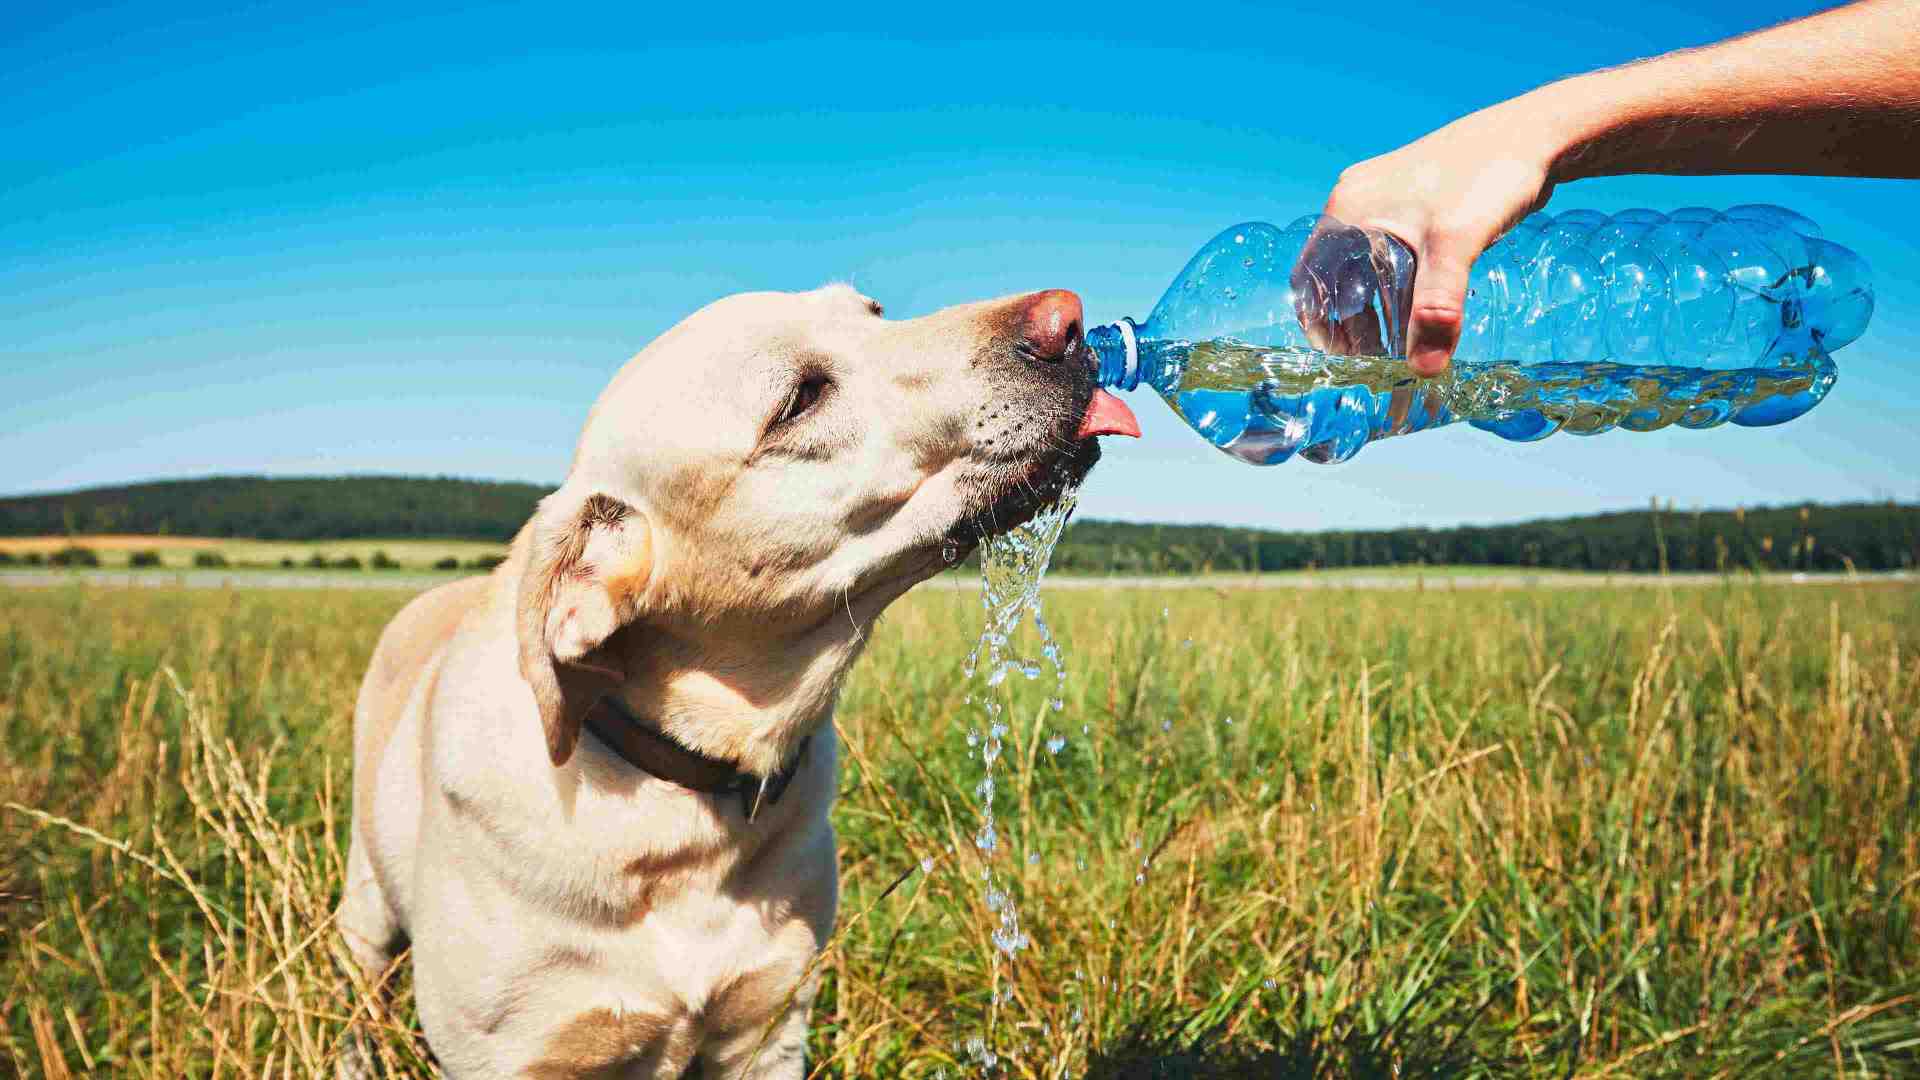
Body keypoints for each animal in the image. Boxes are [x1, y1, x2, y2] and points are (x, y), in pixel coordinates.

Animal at [337, 282, 1136, 1068]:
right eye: (800, 399)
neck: (684, 803)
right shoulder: (514, 1052)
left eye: (874, 313)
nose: (1069, 319)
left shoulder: (771, 1026)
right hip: (364, 910)